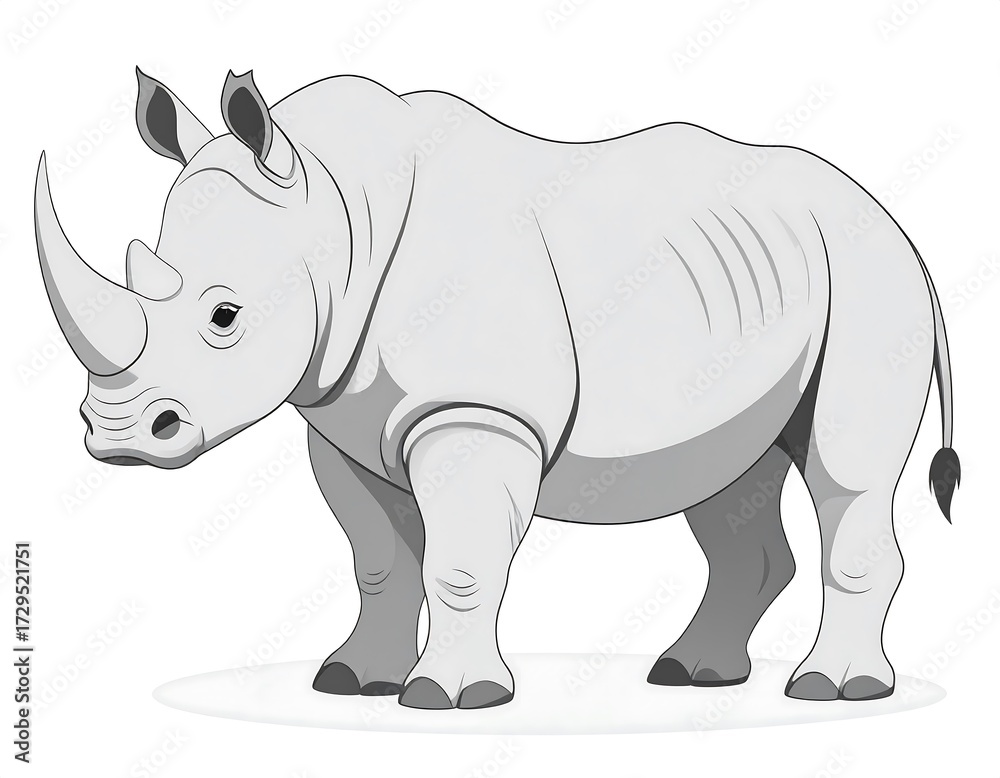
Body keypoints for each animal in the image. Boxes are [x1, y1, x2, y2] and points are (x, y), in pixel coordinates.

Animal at [35, 68, 960, 710]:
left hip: (869, 281)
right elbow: (380, 558)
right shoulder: (343, 421)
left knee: (846, 472)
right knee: (730, 474)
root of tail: (899, 226)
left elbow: (461, 560)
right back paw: (692, 674)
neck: (335, 212)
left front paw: (448, 698)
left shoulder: (476, 414)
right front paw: (353, 681)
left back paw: (833, 689)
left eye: (224, 316)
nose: (117, 437)